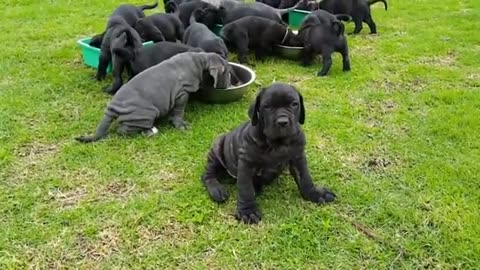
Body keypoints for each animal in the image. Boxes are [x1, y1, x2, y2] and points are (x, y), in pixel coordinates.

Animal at [75, 51, 232, 143]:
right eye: (228, 72)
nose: (228, 85)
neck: (200, 59)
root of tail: (112, 108)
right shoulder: (181, 94)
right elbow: (179, 111)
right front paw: (181, 125)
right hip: (146, 113)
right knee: (122, 131)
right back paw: (150, 131)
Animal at [201, 83, 336, 225]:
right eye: (267, 106)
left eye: (294, 104)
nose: (282, 122)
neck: (277, 144)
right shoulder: (246, 165)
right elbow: (245, 189)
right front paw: (247, 211)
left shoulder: (298, 158)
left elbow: (305, 178)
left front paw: (316, 194)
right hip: (217, 148)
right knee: (207, 174)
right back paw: (217, 190)